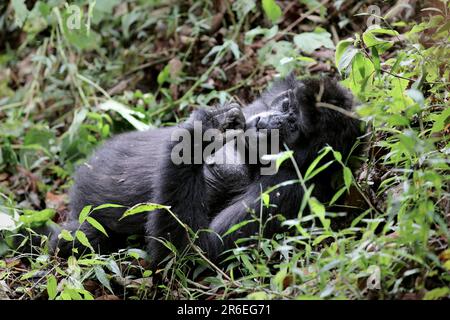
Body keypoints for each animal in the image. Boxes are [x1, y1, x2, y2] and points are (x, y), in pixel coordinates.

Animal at [48, 74, 362, 264]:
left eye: (293, 126)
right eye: (285, 105)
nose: (266, 124)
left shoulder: (285, 191)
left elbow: (192, 251)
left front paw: (200, 132)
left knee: (79, 236)